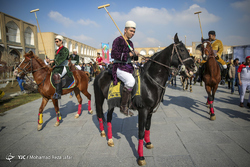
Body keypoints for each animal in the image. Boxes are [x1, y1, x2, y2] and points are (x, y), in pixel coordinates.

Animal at [93, 33, 195, 165]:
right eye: (182, 50)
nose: (193, 65)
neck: (150, 80)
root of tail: (100, 73)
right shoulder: (143, 110)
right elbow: (140, 132)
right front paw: (141, 157)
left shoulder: (150, 110)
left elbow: (148, 127)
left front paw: (149, 143)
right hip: (99, 98)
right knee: (100, 114)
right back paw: (103, 133)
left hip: (111, 102)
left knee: (109, 117)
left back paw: (110, 139)